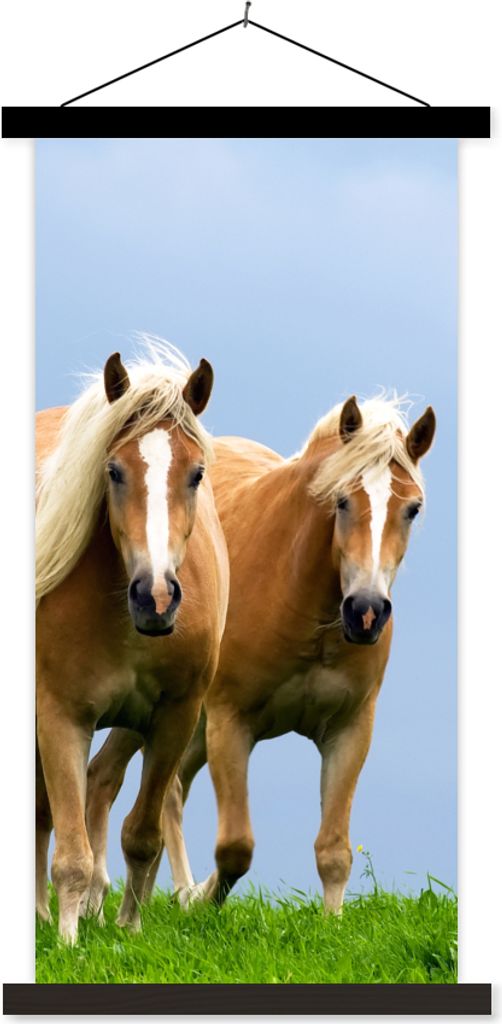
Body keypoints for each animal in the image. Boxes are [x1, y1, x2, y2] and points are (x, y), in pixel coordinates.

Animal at [35, 341, 229, 943]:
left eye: (196, 474)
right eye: (114, 471)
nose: (157, 596)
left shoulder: (174, 720)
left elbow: (143, 836)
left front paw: (128, 930)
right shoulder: (59, 717)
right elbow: (71, 855)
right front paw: (68, 943)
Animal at [84, 393, 435, 914]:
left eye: (411, 508)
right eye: (341, 500)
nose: (366, 612)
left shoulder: (351, 730)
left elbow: (334, 851)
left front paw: (331, 924)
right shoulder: (231, 724)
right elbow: (235, 847)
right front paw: (201, 900)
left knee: (141, 785)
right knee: (127, 784)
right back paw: (123, 896)